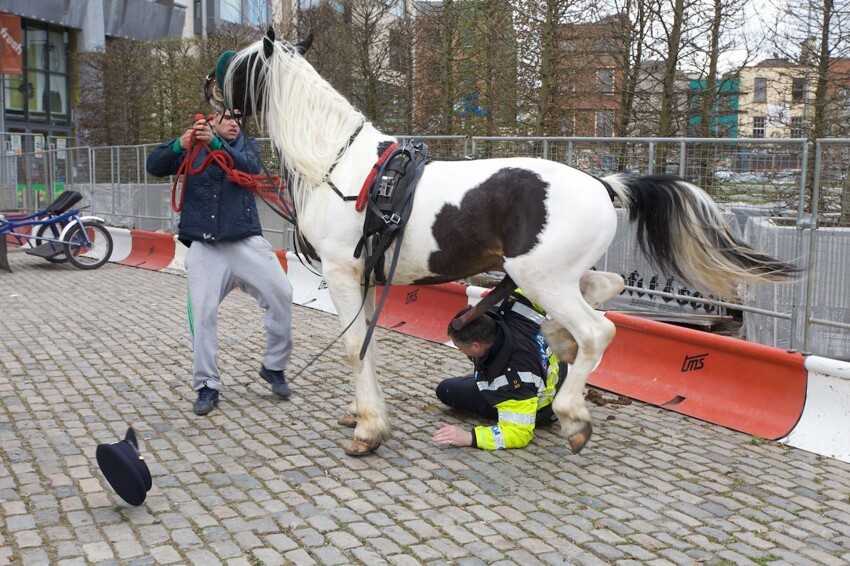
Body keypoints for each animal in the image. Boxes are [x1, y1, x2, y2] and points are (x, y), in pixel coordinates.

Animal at [214, 30, 796, 458]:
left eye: (237, 69)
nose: (207, 92)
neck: (340, 168)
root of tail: (603, 184)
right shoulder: (365, 280)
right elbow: (368, 347)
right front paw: (362, 414)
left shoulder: (343, 275)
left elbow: (355, 348)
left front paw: (369, 430)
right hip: (551, 276)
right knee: (601, 291)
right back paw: (561, 351)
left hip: (544, 278)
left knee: (598, 330)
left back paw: (573, 413)